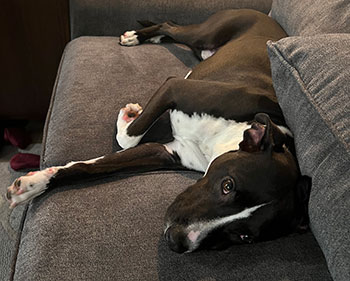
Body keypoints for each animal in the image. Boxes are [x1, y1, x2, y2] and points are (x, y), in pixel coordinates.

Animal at [6, 9, 310, 253]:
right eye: (228, 185)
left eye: (244, 236)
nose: (177, 241)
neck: (223, 139)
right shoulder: (173, 87)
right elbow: (127, 138)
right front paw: (128, 116)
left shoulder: (165, 152)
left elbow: (94, 165)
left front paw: (34, 183)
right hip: (206, 32)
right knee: (170, 24)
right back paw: (136, 36)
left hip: (202, 48)